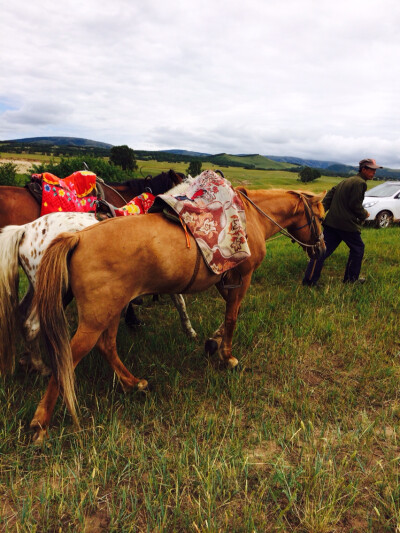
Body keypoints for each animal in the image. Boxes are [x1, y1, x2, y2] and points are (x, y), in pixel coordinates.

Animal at [30, 185, 324, 442]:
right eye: (321, 217)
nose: (321, 249)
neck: (249, 218)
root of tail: (77, 237)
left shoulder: (225, 281)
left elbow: (229, 314)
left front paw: (213, 342)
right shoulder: (243, 277)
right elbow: (232, 317)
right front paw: (227, 356)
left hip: (111, 310)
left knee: (107, 346)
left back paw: (133, 383)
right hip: (96, 318)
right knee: (69, 358)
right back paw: (41, 422)